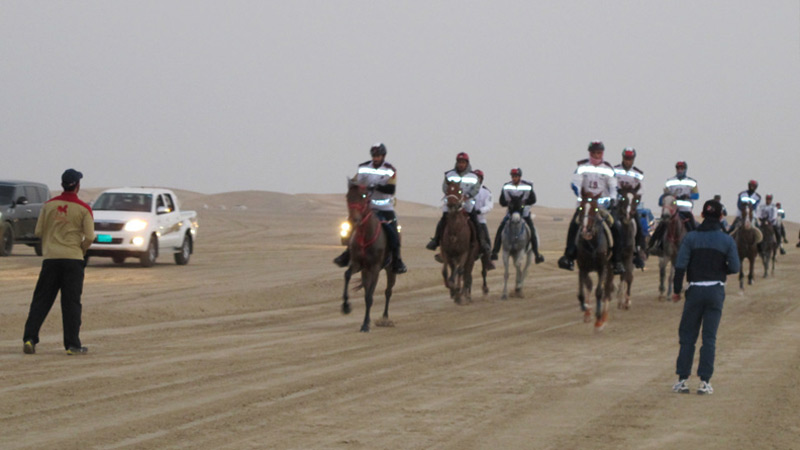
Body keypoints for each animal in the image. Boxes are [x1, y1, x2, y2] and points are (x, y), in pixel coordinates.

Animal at [340, 181, 396, 332]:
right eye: (347, 196)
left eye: (363, 196)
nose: (354, 219)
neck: (366, 236)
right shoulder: (358, 264)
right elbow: (347, 275)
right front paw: (346, 306)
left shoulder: (375, 268)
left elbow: (370, 296)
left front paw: (365, 324)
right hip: (366, 271)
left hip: (390, 269)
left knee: (388, 291)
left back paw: (385, 318)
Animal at [576, 190, 612, 330]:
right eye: (580, 207)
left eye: (595, 209)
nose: (586, 231)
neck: (591, 244)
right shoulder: (582, 267)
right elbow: (583, 290)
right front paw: (586, 310)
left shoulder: (602, 267)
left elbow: (599, 292)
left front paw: (598, 320)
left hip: (610, 267)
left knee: (607, 288)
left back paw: (604, 316)